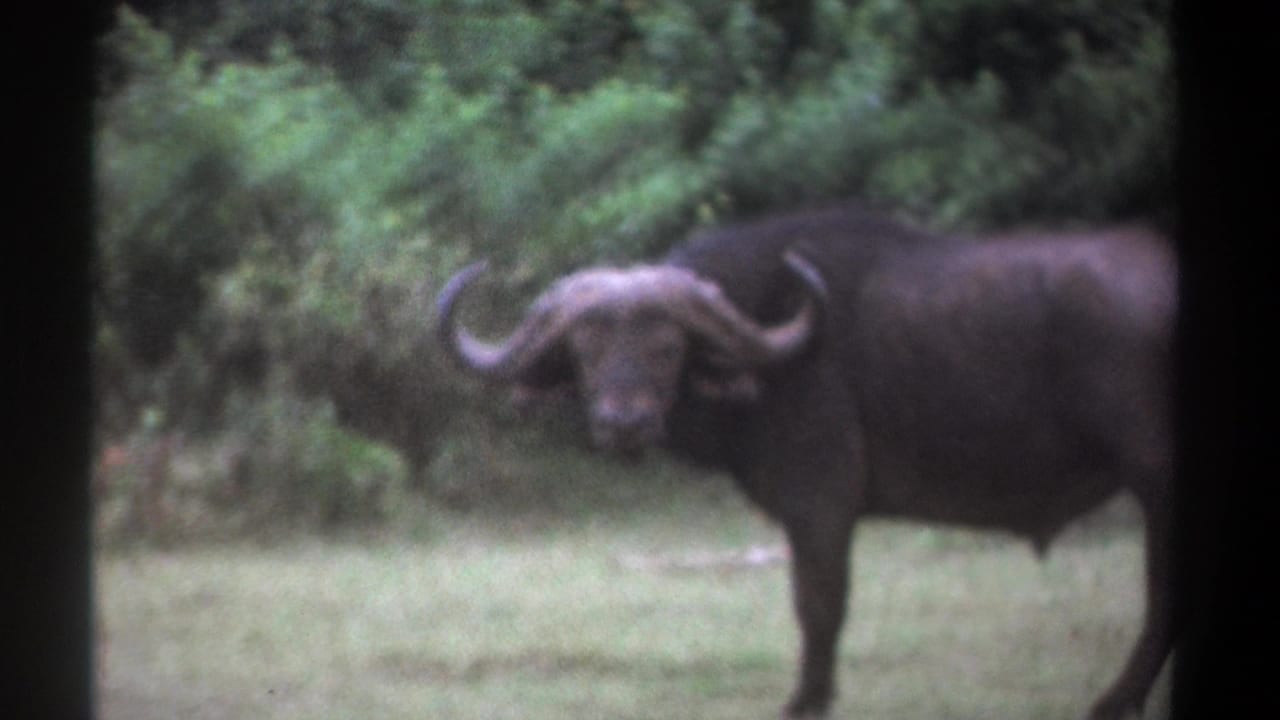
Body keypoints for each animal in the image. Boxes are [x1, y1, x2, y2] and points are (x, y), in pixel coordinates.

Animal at [437, 205, 1176, 719]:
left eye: (667, 347)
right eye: (585, 349)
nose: (624, 423)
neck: (772, 355)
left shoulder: (820, 503)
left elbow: (818, 604)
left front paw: (806, 699)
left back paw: (1114, 699)